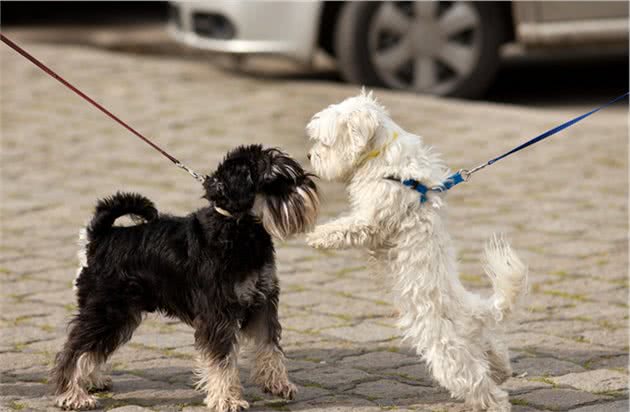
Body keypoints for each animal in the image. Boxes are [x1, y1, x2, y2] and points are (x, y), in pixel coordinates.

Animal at [52, 145, 320, 408]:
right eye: (275, 180)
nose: (308, 185)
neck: (238, 228)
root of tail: (99, 237)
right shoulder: (218, 313)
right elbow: (222, 359)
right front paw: (227, 399)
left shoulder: (262, 302)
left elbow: (269, 346)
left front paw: (278, 384)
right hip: (108, 311)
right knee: (73, 350)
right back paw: (73, 395)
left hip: (119, 316)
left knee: (91, 349)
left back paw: (91, 381)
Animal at [306, 91, 528, 412]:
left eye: (325, 142)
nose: (309, 156)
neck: (382, 159)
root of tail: (470, 310)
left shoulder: (372, 219)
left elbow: (347, 227)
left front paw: (318, 236)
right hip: (476, 341)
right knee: (494, 350)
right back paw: (502, 369)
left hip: (448, 354)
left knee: (476, 382)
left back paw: (494, 402)